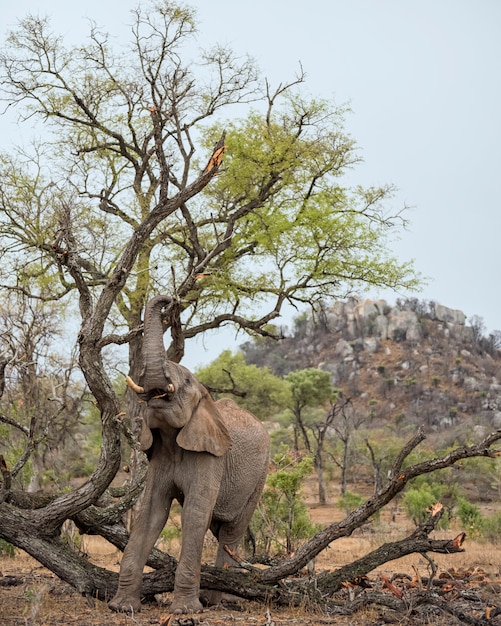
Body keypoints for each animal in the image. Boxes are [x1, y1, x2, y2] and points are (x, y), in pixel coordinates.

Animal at [109, 294, 270, 612]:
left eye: (185, 382)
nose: (170, 299)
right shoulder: (159, 456)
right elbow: (151, 512)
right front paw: (122, 607)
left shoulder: (212, 457)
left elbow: (194, 513)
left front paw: (185, 611)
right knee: (219, 530)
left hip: (259, 477)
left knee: (231, 531)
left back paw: (219, 600)